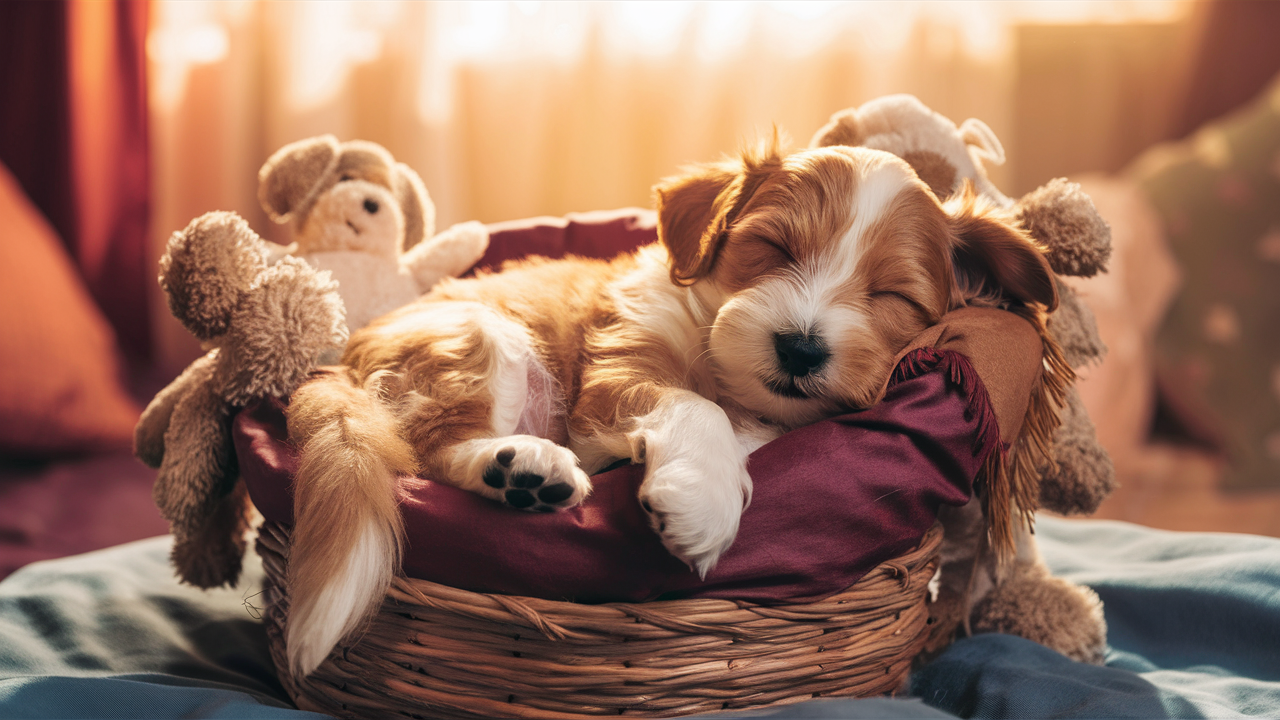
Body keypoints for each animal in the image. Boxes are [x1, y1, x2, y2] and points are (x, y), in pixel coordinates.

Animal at [285, 139, 1054, 671]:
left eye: (891, 296)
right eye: (774, 249)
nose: (800, 348)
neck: (725, 368)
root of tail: (340, 358)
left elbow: (762, 434)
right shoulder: (616, 376)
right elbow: (692, 408)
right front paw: (701, 496)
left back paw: (523, 476)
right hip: (480, 338)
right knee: (432, 452)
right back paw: (527, 464)